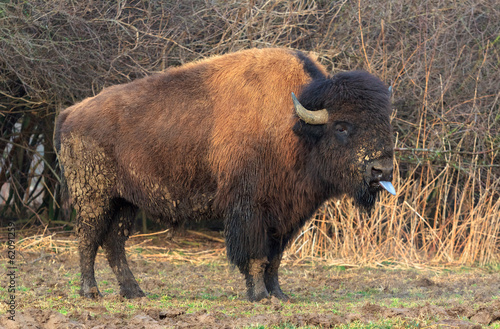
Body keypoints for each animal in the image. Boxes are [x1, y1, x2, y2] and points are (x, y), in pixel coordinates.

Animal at [56, 47, 394, 302]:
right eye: (342, 126)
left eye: (385, 121)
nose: (381, 169)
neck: (296, 126)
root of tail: (72, 113)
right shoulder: (250, 209)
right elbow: (257, 255)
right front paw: (259, 296)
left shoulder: (285, 215)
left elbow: (275, 258)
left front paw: (280, 295)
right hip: (95, 198)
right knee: (88, 239)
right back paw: (91, 292)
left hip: (125, 201)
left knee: (114, 242)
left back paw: (134, 292)